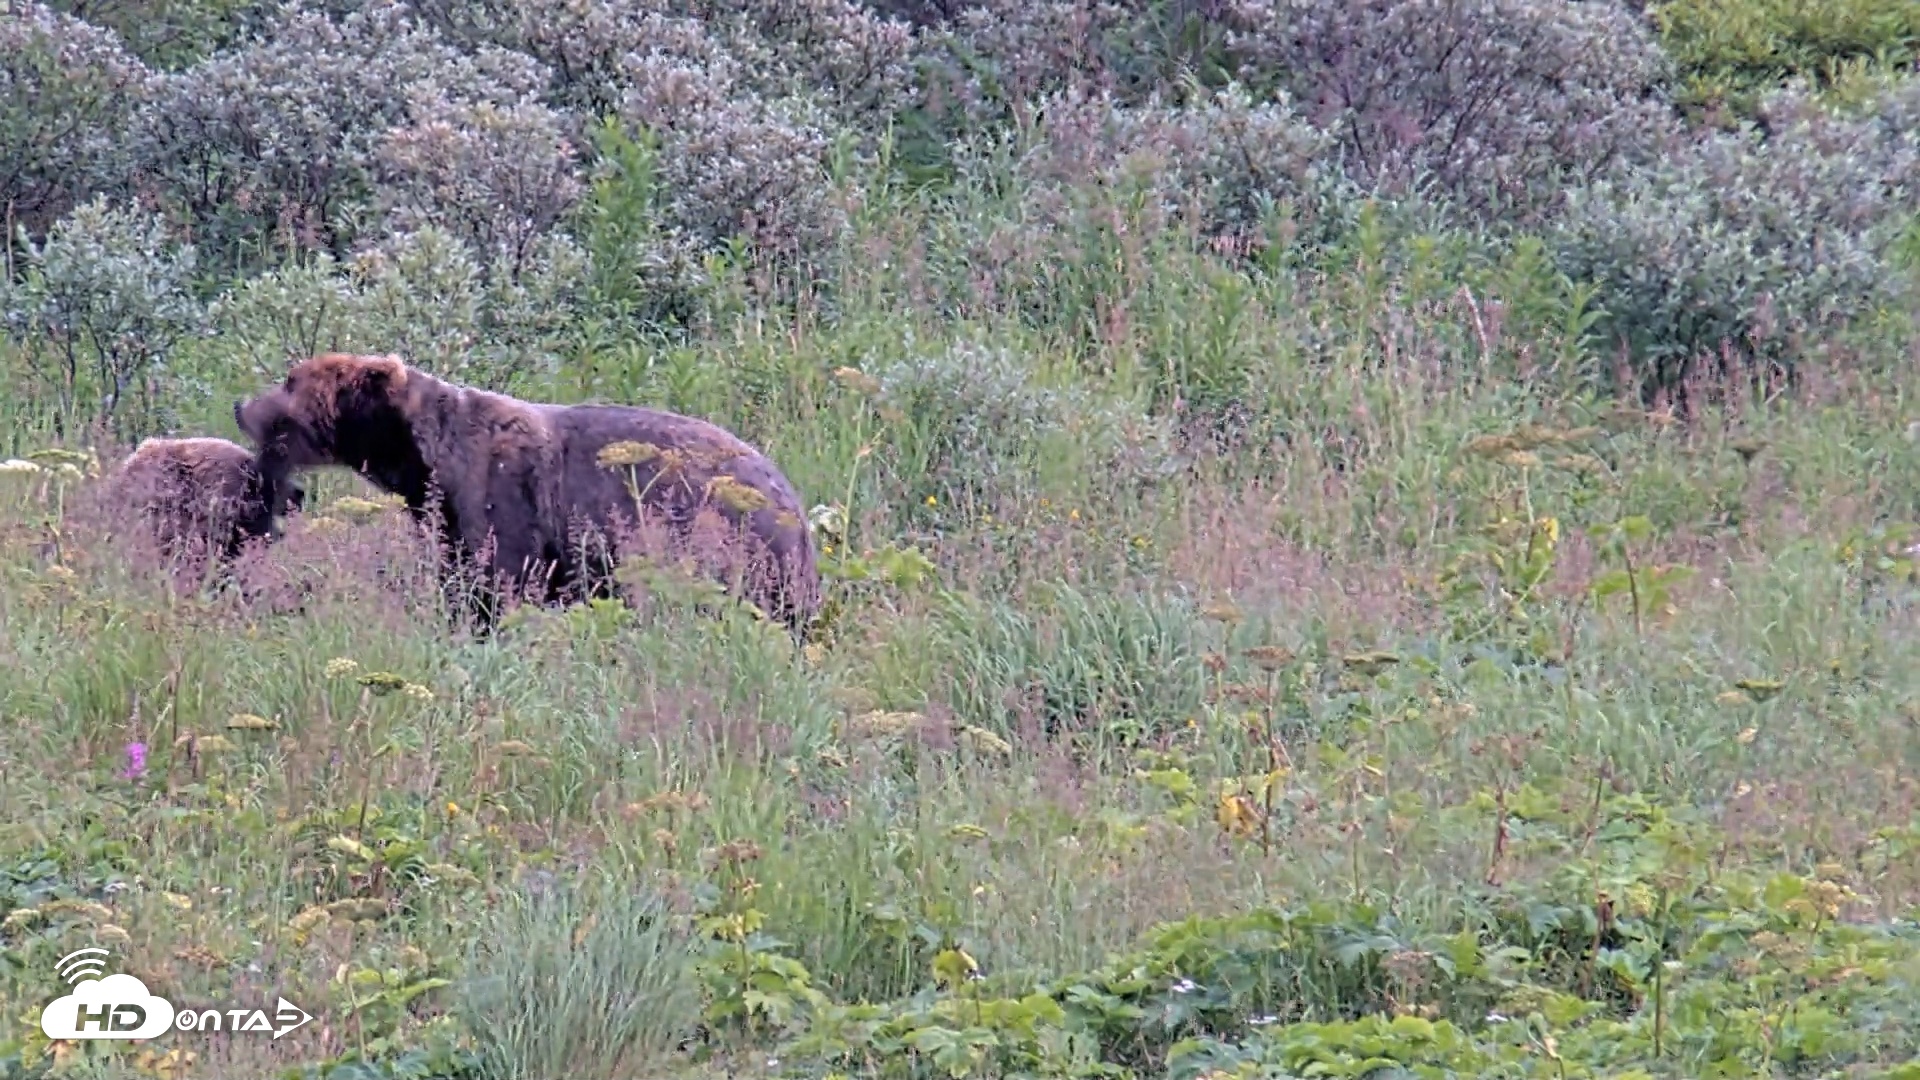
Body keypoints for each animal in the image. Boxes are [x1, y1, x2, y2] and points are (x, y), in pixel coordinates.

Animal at [233, 353, 821, 637]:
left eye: (290, 380)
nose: (241, 404)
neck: (425, 463)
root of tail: (794, 505)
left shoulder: (504, 496)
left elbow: (502, 583)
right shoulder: (448, 521)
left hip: (719, 545)